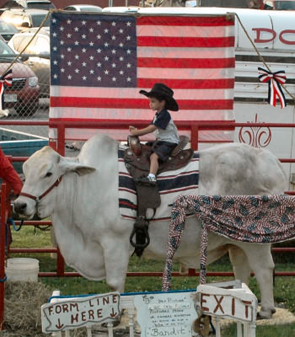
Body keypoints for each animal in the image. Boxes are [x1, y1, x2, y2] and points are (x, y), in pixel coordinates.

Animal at [12, 133, 288, 318]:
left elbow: (114, 285)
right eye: (25, 168)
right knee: (241, 269)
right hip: (235, 242)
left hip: (255, 240)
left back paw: (266, 310)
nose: (20, 205)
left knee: (264, 268)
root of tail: (272, 161)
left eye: (48, 173)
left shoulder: (115, 245)